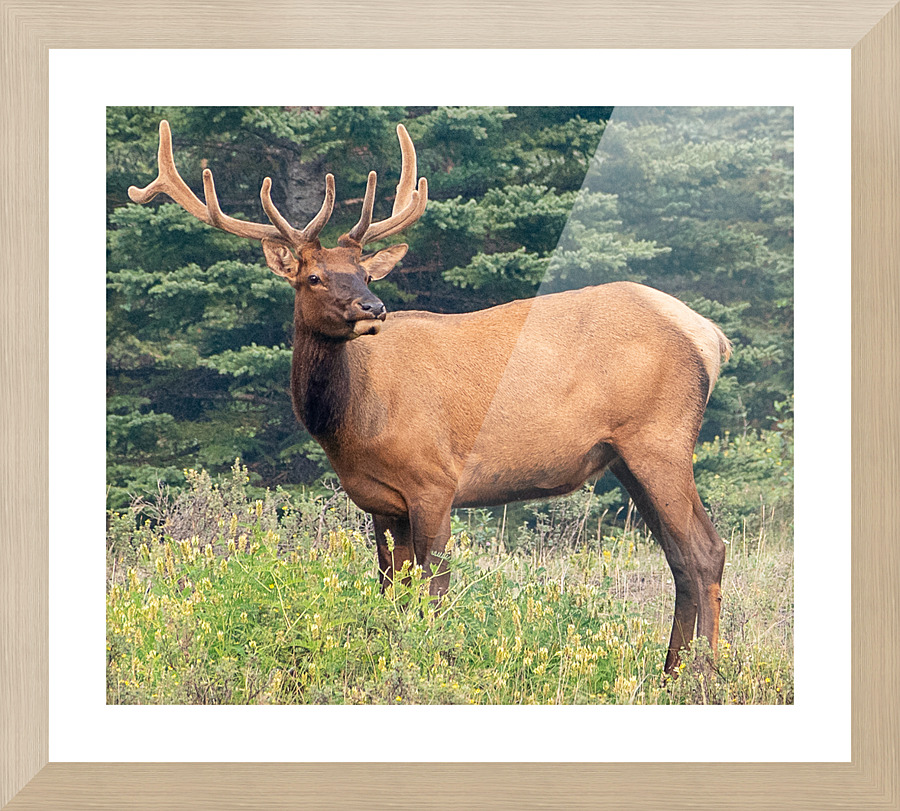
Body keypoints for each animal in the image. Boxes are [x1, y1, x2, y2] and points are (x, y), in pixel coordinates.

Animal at [129, 120, 732, 674]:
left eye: (365, 272)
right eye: (315, 277)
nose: (373, 307)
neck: (354, 421)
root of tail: (710, 336)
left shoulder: (435, 481)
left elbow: (434, 592)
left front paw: (430, 662)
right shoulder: (379, 500)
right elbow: (389, 590)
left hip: (659, 439)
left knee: (706, 550)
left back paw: (701, 672)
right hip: (627, 456)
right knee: (679, 556)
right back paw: (668, 670)